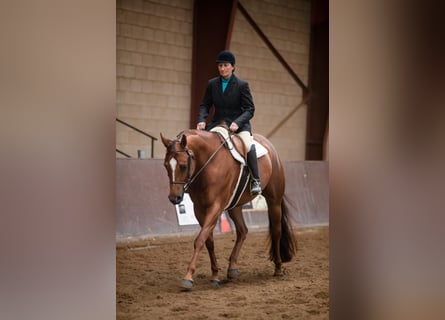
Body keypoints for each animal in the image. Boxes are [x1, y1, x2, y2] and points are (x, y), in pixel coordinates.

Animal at [160, 128, 294, 290]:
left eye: (183, 165)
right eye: (166, 165)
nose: (174, 198)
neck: (208, 163)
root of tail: (270, 147)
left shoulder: (215, 207)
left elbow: (199, 240)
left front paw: (188, 277)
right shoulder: (199, 209)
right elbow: (208, 241)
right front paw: (215, 275)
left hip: (274, 201)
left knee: (276, 231)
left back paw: (278, 268)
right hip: (235, 206)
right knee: (243, 231)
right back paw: (232, 269)